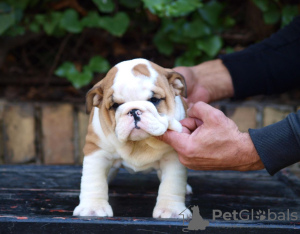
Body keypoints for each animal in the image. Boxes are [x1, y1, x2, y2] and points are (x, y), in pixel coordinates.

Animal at [74, 57, 193, 218]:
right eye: (115, 105)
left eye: (154, 100)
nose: (134, 111)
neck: (139, 143)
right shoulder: (96, 151)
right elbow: (93, 181)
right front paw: (92, 208)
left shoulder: (173, 156)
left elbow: (172, 184)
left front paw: (171, 210)